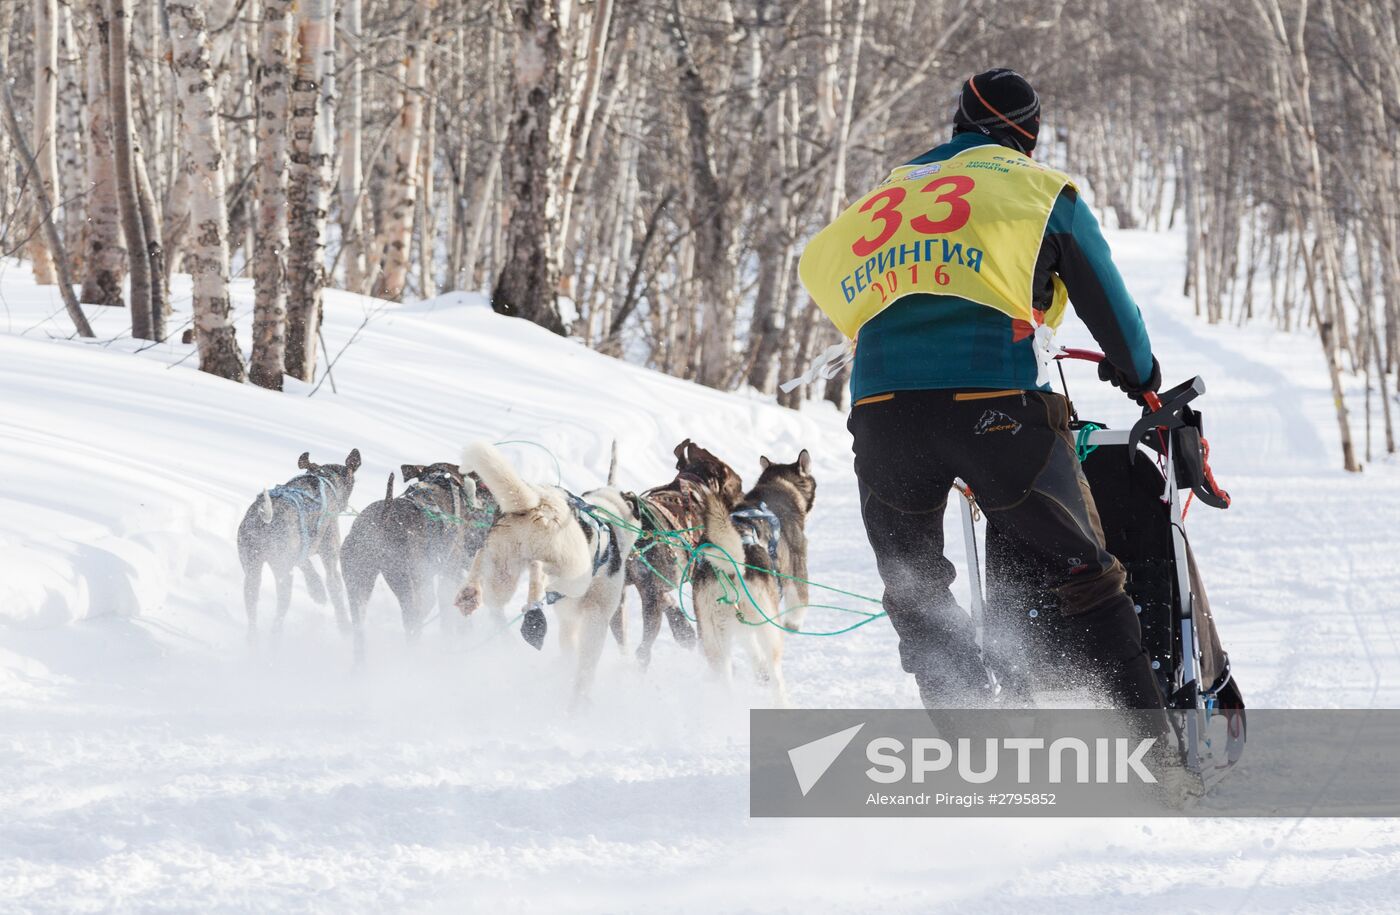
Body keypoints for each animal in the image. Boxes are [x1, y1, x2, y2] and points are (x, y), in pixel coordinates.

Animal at [453, 444, 641, 710]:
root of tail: (538, 501)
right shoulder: (597, 617)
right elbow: (585, 667)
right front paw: (579, 700)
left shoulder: (568, 619)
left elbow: (569, 648)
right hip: (574, 571)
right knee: (541, 570)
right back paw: (535, 595)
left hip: (503, 568)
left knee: (486, 570)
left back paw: (473, 595)